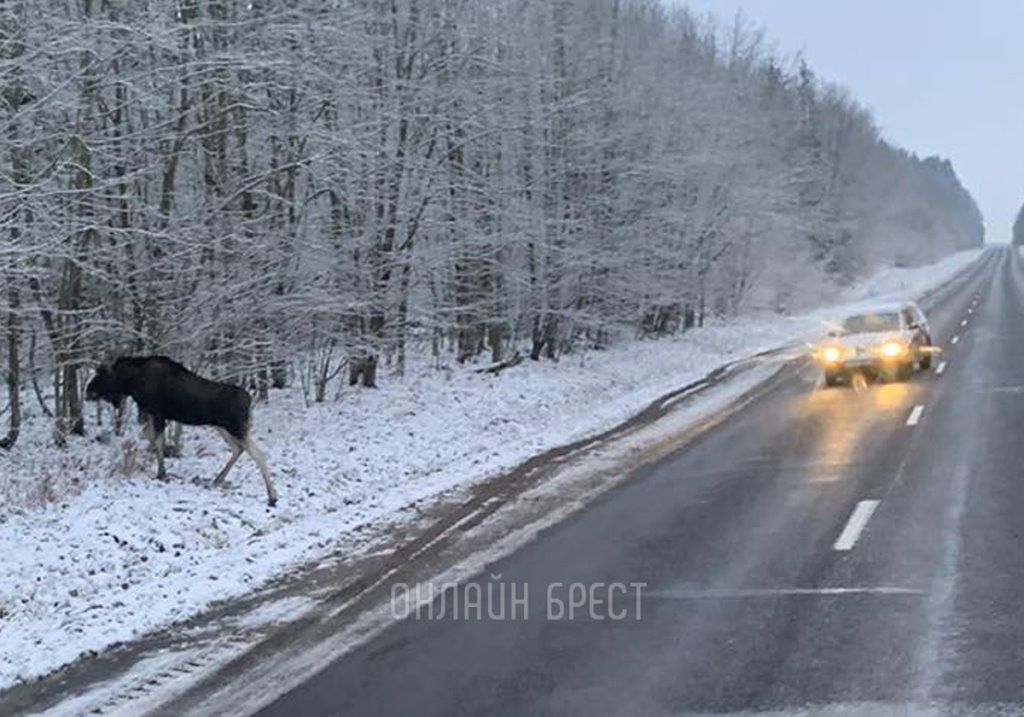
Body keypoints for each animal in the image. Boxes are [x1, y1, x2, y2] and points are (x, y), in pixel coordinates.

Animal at [86, 356, 277, 506]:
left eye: (102, 375)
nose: (88, 391)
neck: (132, 383)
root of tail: (249, 399)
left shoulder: (157, 414)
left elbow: (157, 441)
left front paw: (162, 473)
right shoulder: (151, 414)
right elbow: (151, 438)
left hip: (236, 427)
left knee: (259, 454)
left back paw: (272, 496)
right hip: (222, 427)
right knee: (239, 449)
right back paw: (218, 479)